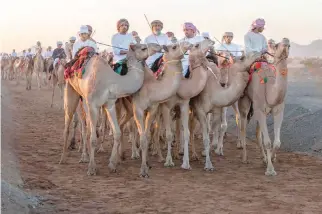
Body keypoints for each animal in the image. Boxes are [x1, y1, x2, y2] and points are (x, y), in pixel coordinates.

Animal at [59, 43, 162, 176]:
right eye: (143, 48)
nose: (158, 46)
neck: (111, 81)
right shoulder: (94, 105)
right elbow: (93, 139)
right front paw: (92, 168)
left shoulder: (110, 104)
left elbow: (117, 133)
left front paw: (112, 164)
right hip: (71, 91)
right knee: (69, 125)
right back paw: (64, 158)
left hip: (85, 100)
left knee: (86, 128)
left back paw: (85, 156)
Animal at [238, 38, 290, 176]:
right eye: (276, 45)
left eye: (289, 45)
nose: (286, 41)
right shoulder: (260, 110)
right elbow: (267, 142)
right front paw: (270, 170)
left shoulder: (278, 111)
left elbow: (277, 142)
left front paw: (271, 159)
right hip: (245, 102)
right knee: (243, 127)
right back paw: (244, 158)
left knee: (257, 134)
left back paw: (263, 158)